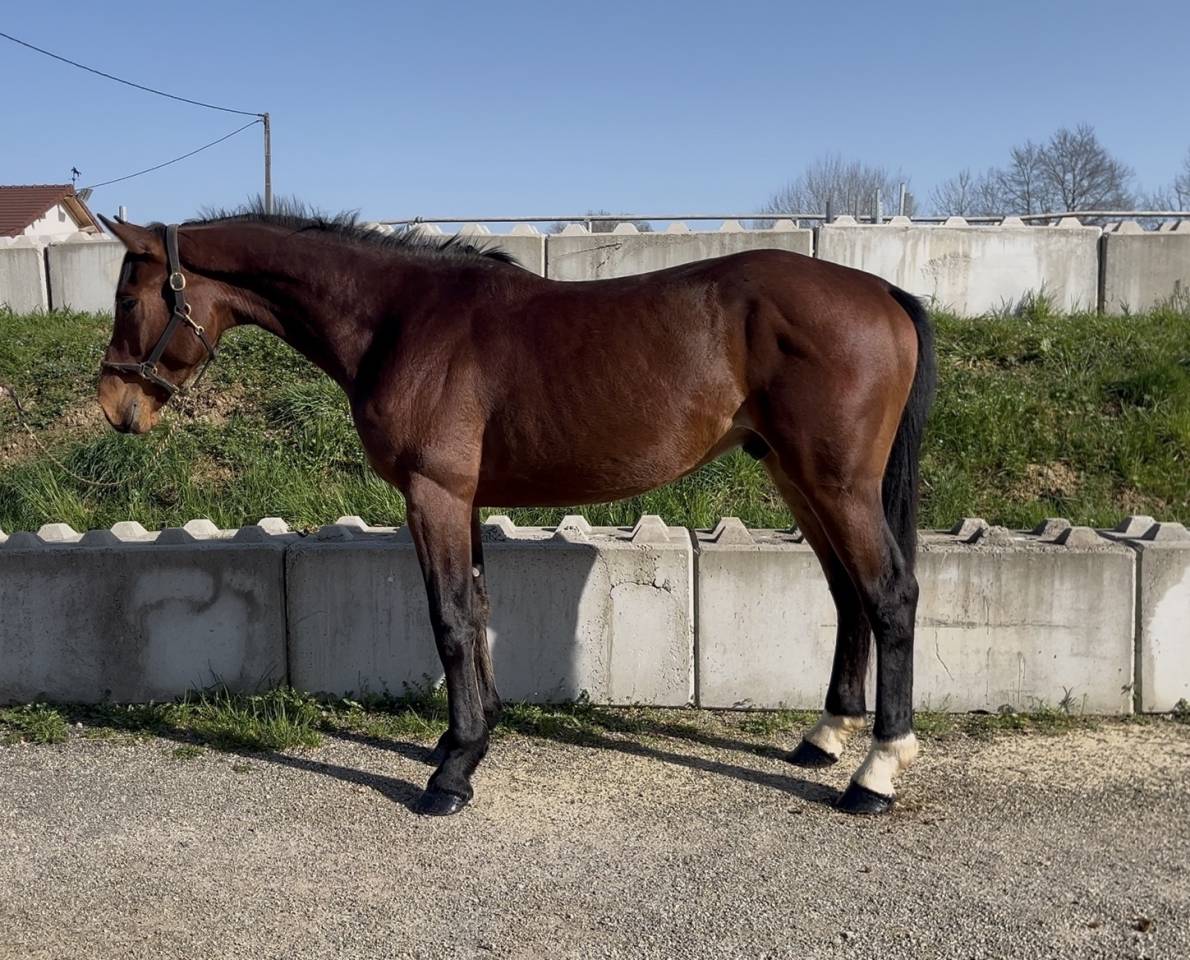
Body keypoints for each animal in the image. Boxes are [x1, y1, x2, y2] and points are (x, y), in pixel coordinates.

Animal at [96, 203, 936, 817]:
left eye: (128, 298)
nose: (115, 406)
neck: (399, 321)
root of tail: (882, 292)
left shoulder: (434, 493)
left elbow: (448, 618)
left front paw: (453, 773)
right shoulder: (462, 499)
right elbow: (477, 609)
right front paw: (463, 739)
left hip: (836, 483)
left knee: (889, 594)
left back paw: (875, 773)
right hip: (799, 478)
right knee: (847, 594)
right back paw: (825, 736)